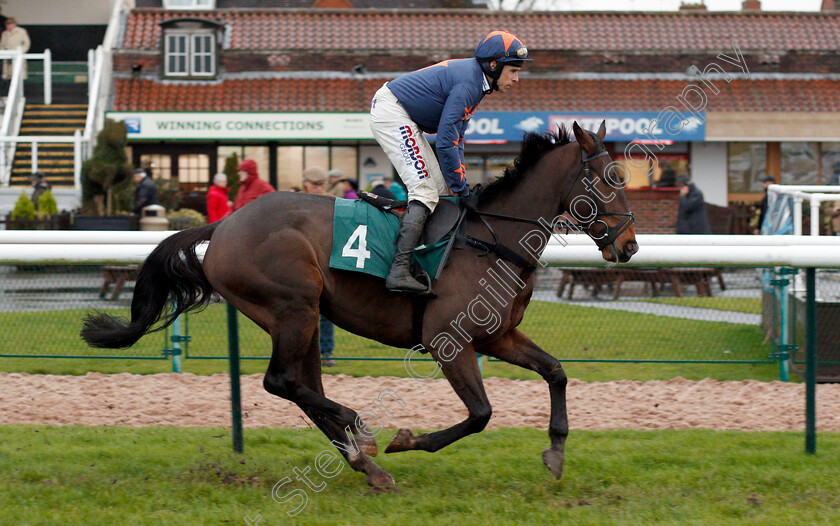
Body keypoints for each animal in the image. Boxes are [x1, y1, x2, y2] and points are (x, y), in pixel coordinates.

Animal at [83, 121, 636, 488]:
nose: (629, 246)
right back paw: (364, 434)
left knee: (302, 387)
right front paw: (406, 439)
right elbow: (480, 413)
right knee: (282, 382)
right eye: (609, 179)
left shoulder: (497, 335)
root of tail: (223, 226)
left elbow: (556, 371)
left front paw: (556, 451)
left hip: (303, 319)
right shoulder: (449, 340)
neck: (491, 239)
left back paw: (364, 463)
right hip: (293, 307)